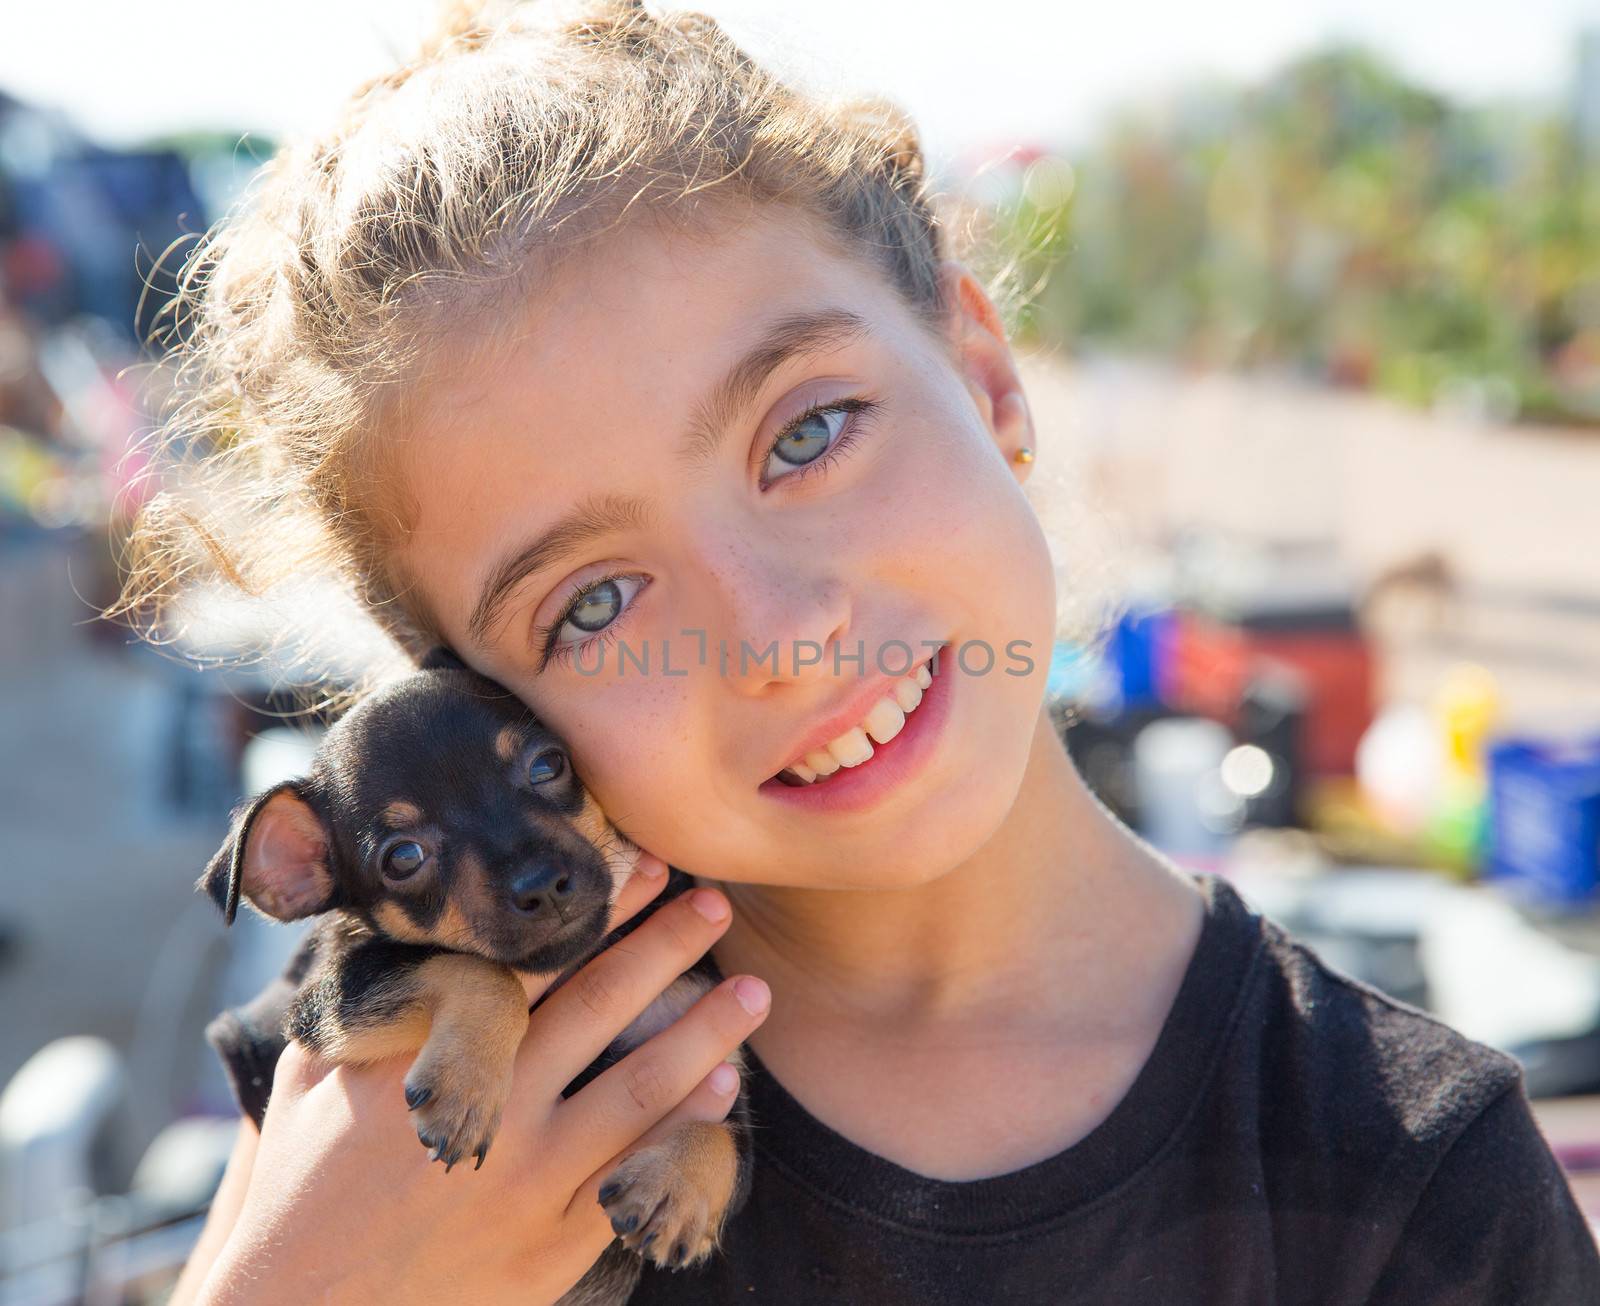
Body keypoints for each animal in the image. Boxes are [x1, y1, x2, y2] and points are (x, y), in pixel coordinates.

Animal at [195, 646, 755, 1293]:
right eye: (403, 858)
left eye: (548, 765)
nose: (541, 885)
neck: (572, 965)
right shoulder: (328, 1003)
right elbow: (484, 975)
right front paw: (465, 1088)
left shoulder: (713, 1058)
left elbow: (725, 1132)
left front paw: (677, 1190)